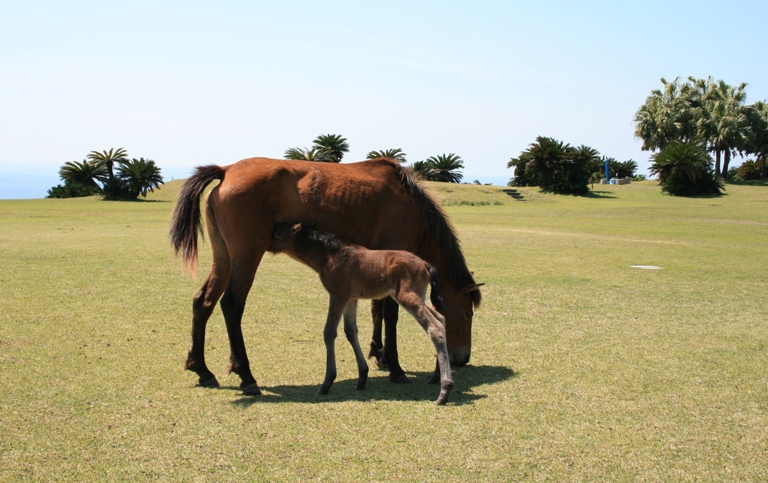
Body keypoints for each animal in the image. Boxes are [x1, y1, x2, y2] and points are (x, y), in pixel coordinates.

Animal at [268, 223, 452, 404]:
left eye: (277, 233)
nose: (267, 245)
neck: (330, 257)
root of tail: (425, 264)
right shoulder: (351, 299)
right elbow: (350, 331)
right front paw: (362, 377)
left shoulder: (338, 295)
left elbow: (329, 332)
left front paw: (327, 382)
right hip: (416, 296)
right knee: (441, 318)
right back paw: (436, 376)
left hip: (407, 296)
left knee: (434, 327)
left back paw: (444, 390)